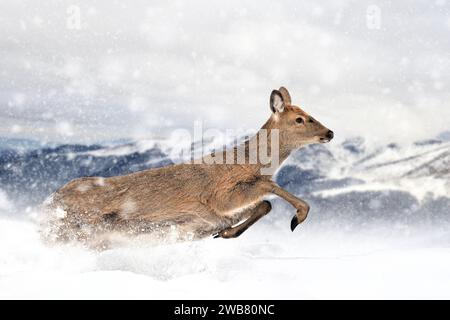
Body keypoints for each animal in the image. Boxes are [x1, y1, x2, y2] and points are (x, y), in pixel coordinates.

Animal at [40, 87, 332, 245]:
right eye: (299, 119)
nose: (329, 132)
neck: (250, 161)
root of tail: (48, 203)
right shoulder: (219, 195)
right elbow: (269, 187)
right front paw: (298, 216)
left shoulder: (225, 209)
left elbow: (265, 204)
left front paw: (225, 233)